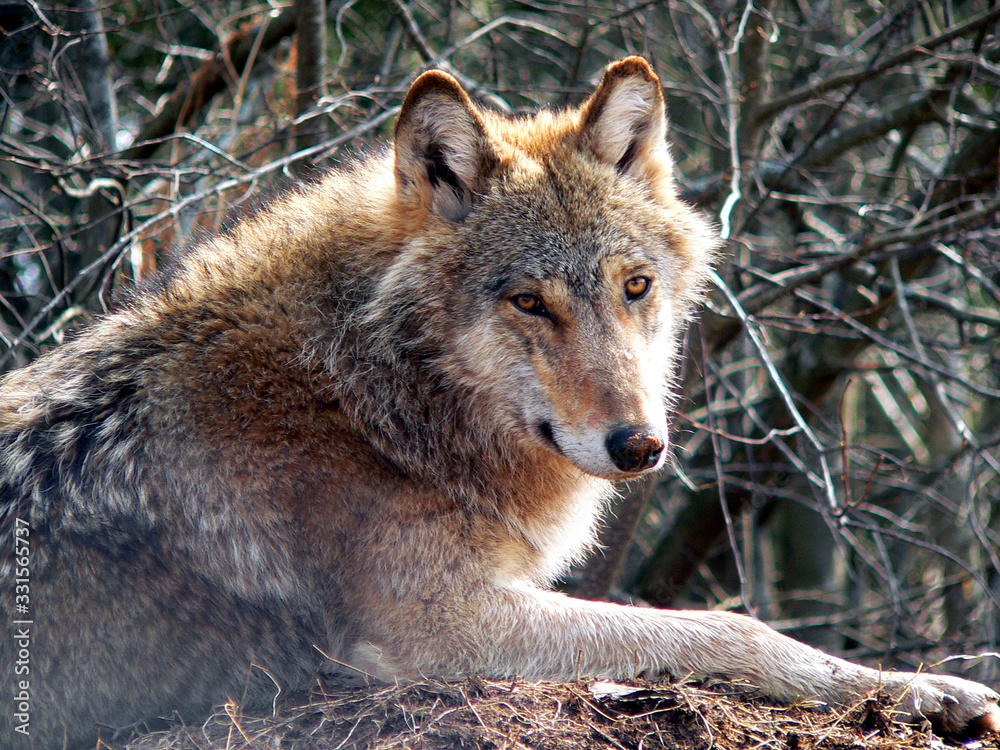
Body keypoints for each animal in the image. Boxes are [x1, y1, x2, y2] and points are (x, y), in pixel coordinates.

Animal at [1, 57, 998, 749]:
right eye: (529, 302)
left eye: (635, 287)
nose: (640, 446)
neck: (365, 395)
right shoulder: (444, 627)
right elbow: (728, 626)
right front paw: (918, 688)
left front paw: (925, 686)